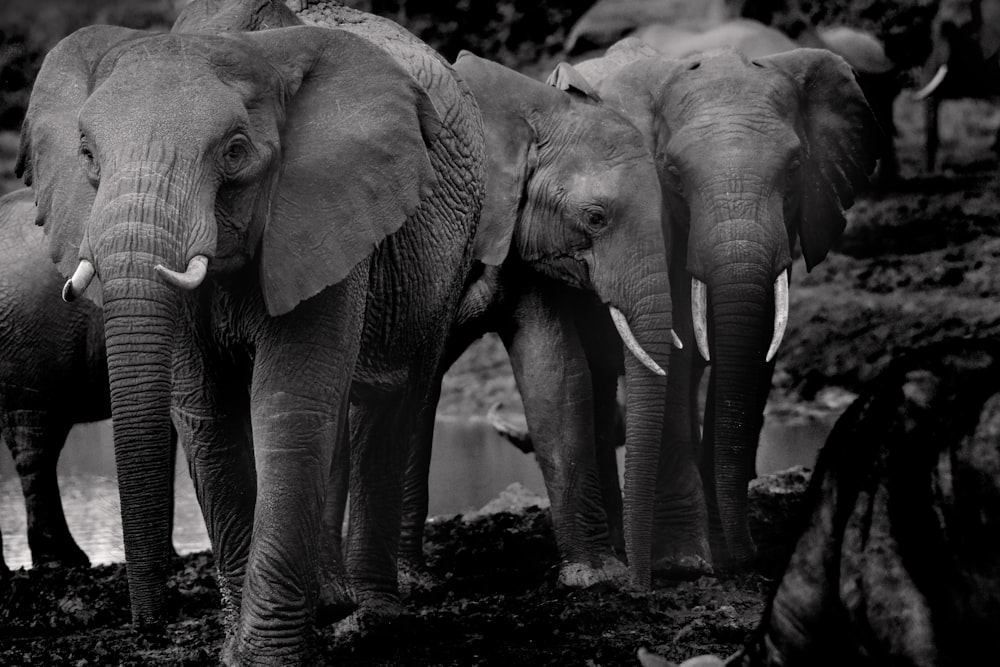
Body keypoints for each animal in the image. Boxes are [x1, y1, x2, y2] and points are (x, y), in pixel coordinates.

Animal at [15, 1, 484, 664]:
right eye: (85, 153)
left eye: (235, 152)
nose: (149, 627)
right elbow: (208, 412)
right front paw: (236, 651)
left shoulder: (325, 207)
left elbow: (287, 404)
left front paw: (265, 657)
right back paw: (332, 603)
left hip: (446, 251)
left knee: (392, 394)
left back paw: (376, 620)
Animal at [386, 52, 676, 592]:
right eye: (595, 217)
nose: (640, 584)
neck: (528, 112)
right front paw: (405, 585)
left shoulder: (520, 242)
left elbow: (555, 372)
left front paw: (594, 578)